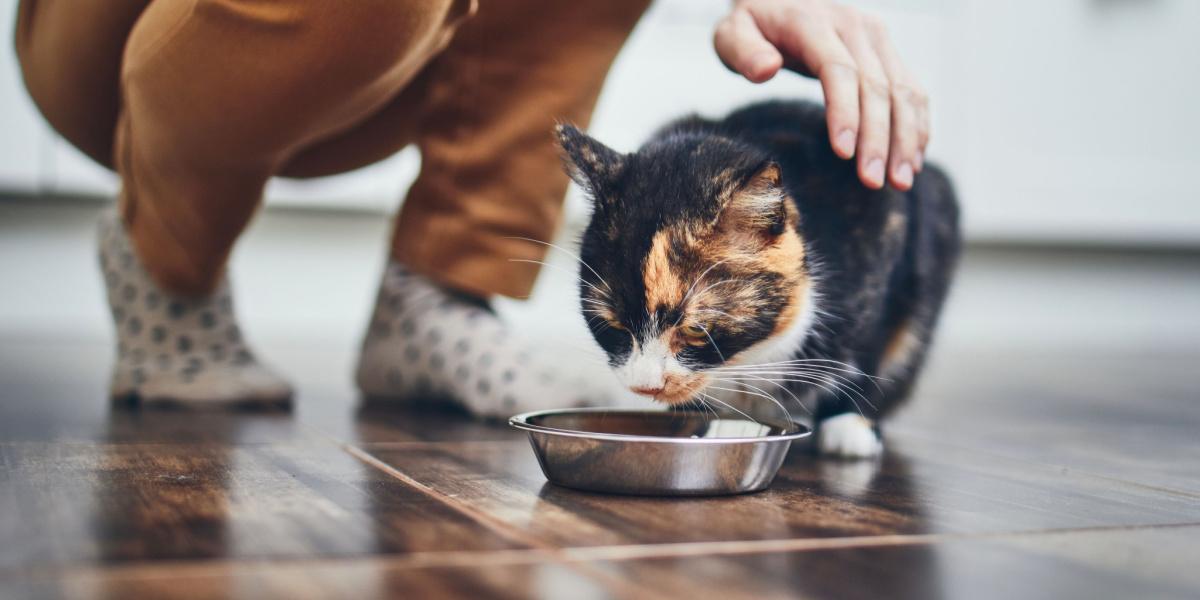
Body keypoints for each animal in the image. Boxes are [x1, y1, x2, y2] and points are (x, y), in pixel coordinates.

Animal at [556, 100, 960, 458]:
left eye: (697, 330)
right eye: (612, 326)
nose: (645, 386)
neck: (747, 360)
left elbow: (868, 346)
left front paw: (849, 423)